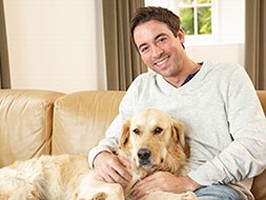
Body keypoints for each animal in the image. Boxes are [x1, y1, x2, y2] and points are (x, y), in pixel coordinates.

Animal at [0, 108, 195, 199]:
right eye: (136, 131)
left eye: (158, 130)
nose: (142, 154)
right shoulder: (92, 181)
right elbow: (117, 189)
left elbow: (189, 195)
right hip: (24, 188)